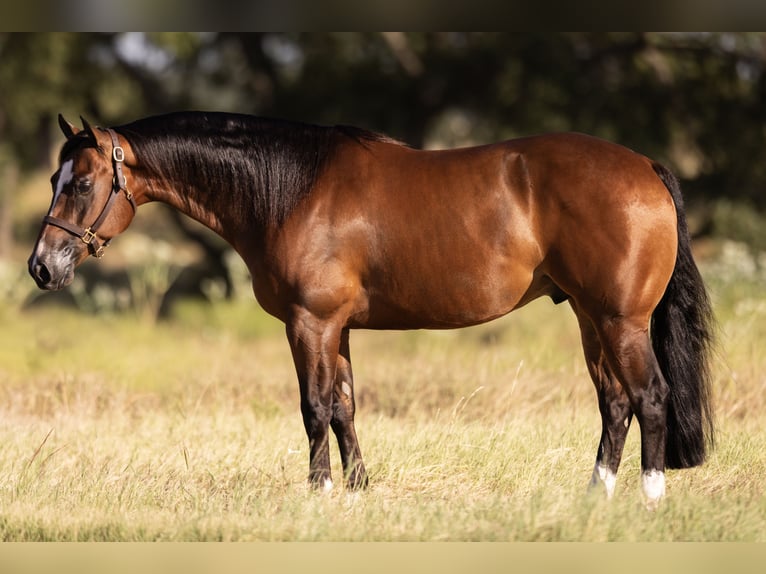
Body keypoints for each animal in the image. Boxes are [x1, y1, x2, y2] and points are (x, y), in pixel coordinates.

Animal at [28, 111, 714, 505]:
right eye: (55, 180)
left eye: (81, 183)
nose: (42, 266)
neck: (292, 189)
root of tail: (645, 166)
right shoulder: (338, 329)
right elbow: (344, 407)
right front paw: (357, 492)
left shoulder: (310, 323)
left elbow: (313, 408)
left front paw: (319, 493)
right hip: (589, 317)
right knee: (615, 403)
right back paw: (595, 498)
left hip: (621, 321)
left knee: (650, 397)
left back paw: (649, 499)